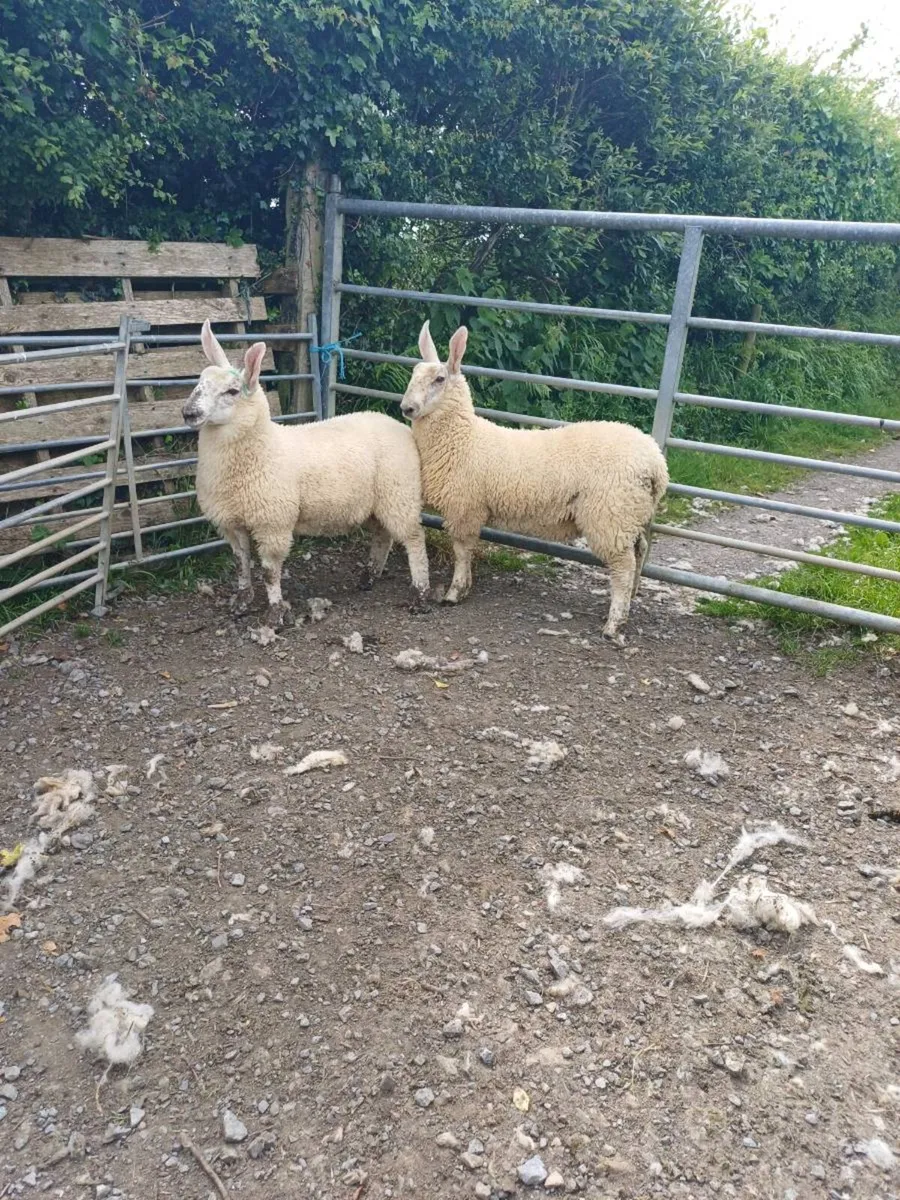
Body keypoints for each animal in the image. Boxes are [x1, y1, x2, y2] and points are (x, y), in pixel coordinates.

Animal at [183, 320, 430, 625]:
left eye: (232, 391)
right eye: (199, 381)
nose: (189, 412)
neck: (262, 449)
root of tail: (400, 427)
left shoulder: (273, 523)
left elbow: (270, 572)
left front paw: (274, 614)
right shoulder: (231, 523)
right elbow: (241, 564)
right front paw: (241, 603)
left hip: (400, 493)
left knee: (414, 539)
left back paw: (420, 594)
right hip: (378, 502)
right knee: (383, 536)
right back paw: (369, 577)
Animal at [400, 321, 669, 641]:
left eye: (439, 379)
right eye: (414, 373)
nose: (406, 408)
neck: (462, 438)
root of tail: (656, 463)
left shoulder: (465, 507)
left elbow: (462, 551)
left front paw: (455, 592)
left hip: (610, 514)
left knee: (623, 568)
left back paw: (614, 623)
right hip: (630, 513)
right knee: (640, 551)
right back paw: (634, 596)